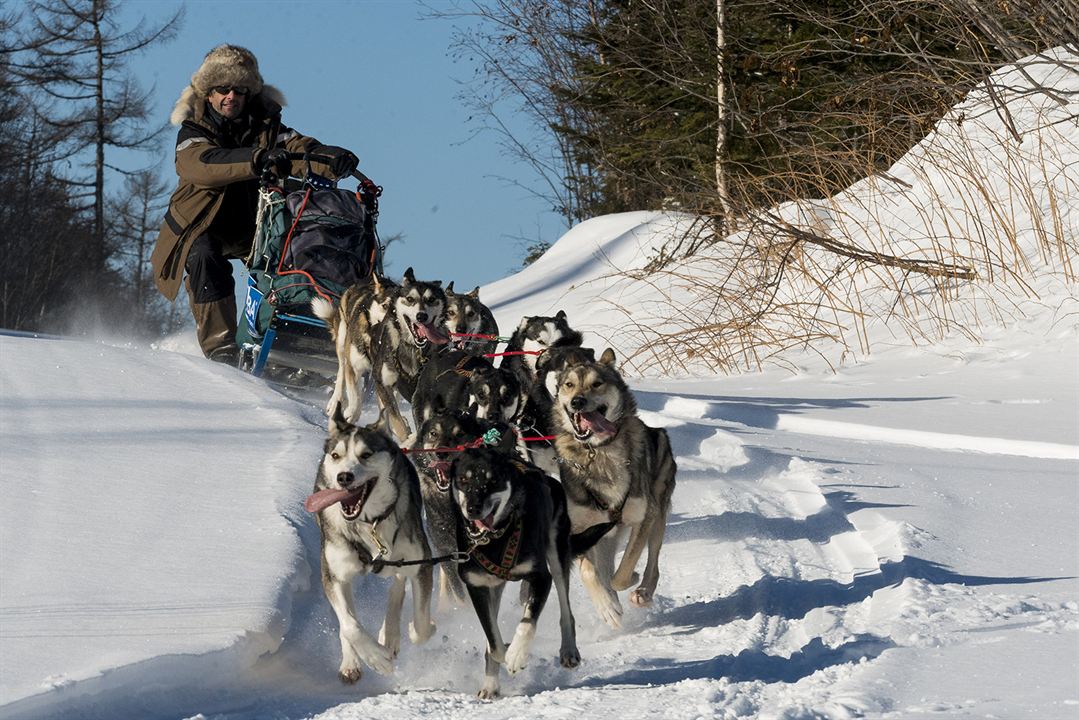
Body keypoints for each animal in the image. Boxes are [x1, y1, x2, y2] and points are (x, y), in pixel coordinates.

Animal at [302, 408, 435, 686]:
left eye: (366, 455)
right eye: (336, 455)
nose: (344, 477)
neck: (369, 522)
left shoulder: (421, 564)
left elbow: (420, 627)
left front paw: (410, 631)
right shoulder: (333, 575)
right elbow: (350, 626)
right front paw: (374, 658)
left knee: (397, 584)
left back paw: (390, 634)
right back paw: (353, 661)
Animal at [448, 446, 578, 699]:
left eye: (492, 480)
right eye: (463, 480)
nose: (473, 508)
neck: (495, 540)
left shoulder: (540, 578)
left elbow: (527, 623)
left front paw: (517, 655)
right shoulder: (477, 587)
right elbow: (492, 640)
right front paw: (505, 652)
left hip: (557, 552)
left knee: (565, 607)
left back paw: (569, 650)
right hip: (494, 587)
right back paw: (490, 685)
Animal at [556, 349, 673, 630]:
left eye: (597, 383)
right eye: (569, 384)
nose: (577, 402)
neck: (598, 452)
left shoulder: (643, 517)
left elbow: (623, 571)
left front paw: (631, 579)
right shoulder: (579, 531)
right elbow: (590, 572)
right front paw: (607, 606)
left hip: (658, 516)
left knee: (653, 563)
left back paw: (643, 592)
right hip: (605, 534)